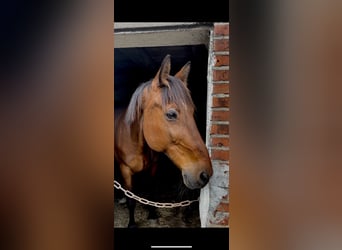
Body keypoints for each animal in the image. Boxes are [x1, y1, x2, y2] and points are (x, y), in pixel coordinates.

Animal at [113, 54, 212, 227]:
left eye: (192, 111)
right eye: (171, 114)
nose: (205, 175)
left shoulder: (153, 167)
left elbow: (152, 192)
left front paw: (152, 214)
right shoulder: (126, 170)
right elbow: (131, 199)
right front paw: (131, 223)